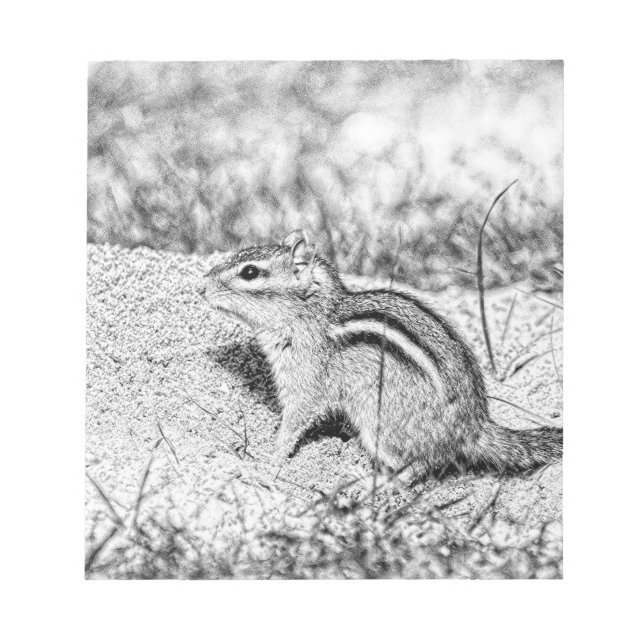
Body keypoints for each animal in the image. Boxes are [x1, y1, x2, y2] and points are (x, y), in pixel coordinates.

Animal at [199, 230, 563, 481]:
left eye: (249, 272)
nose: (201, 287)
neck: (313, 314)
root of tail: (474, 429)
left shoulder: (305, 380)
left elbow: (295, 420)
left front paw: (270, 457)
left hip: (379, 422)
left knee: (420, 466)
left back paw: (371, 483)